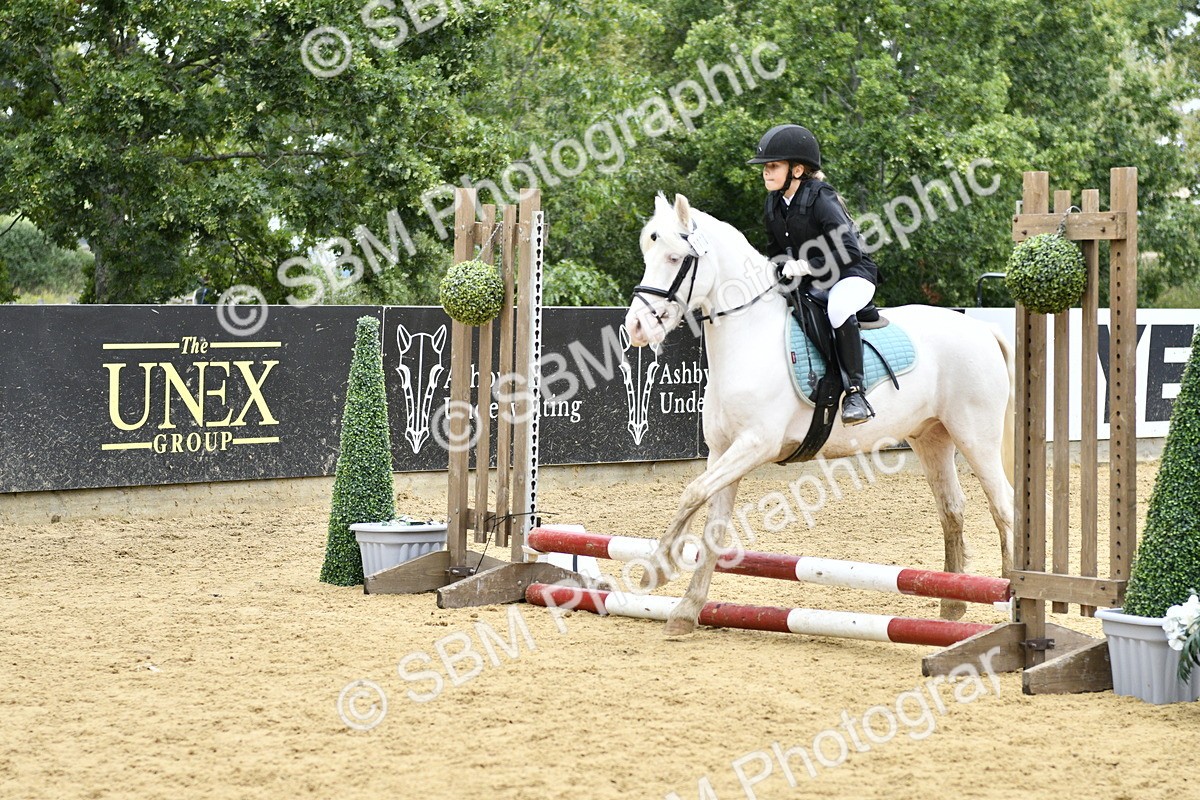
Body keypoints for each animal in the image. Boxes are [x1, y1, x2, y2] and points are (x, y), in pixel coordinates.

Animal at [623, 193, 1015, 637]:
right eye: (647, 253)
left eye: (675, 258)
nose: (636, 328)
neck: (748, 337)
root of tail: (981, 329)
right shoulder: (723, 451)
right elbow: (711, 519)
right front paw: (686, 610)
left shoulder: (755, 444)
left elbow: (691, 493)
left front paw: (655, 568)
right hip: (931, 437)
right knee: (952, 508)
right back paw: (951, 605)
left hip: (975, 436)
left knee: (1003, 504)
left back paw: (1009, 599)